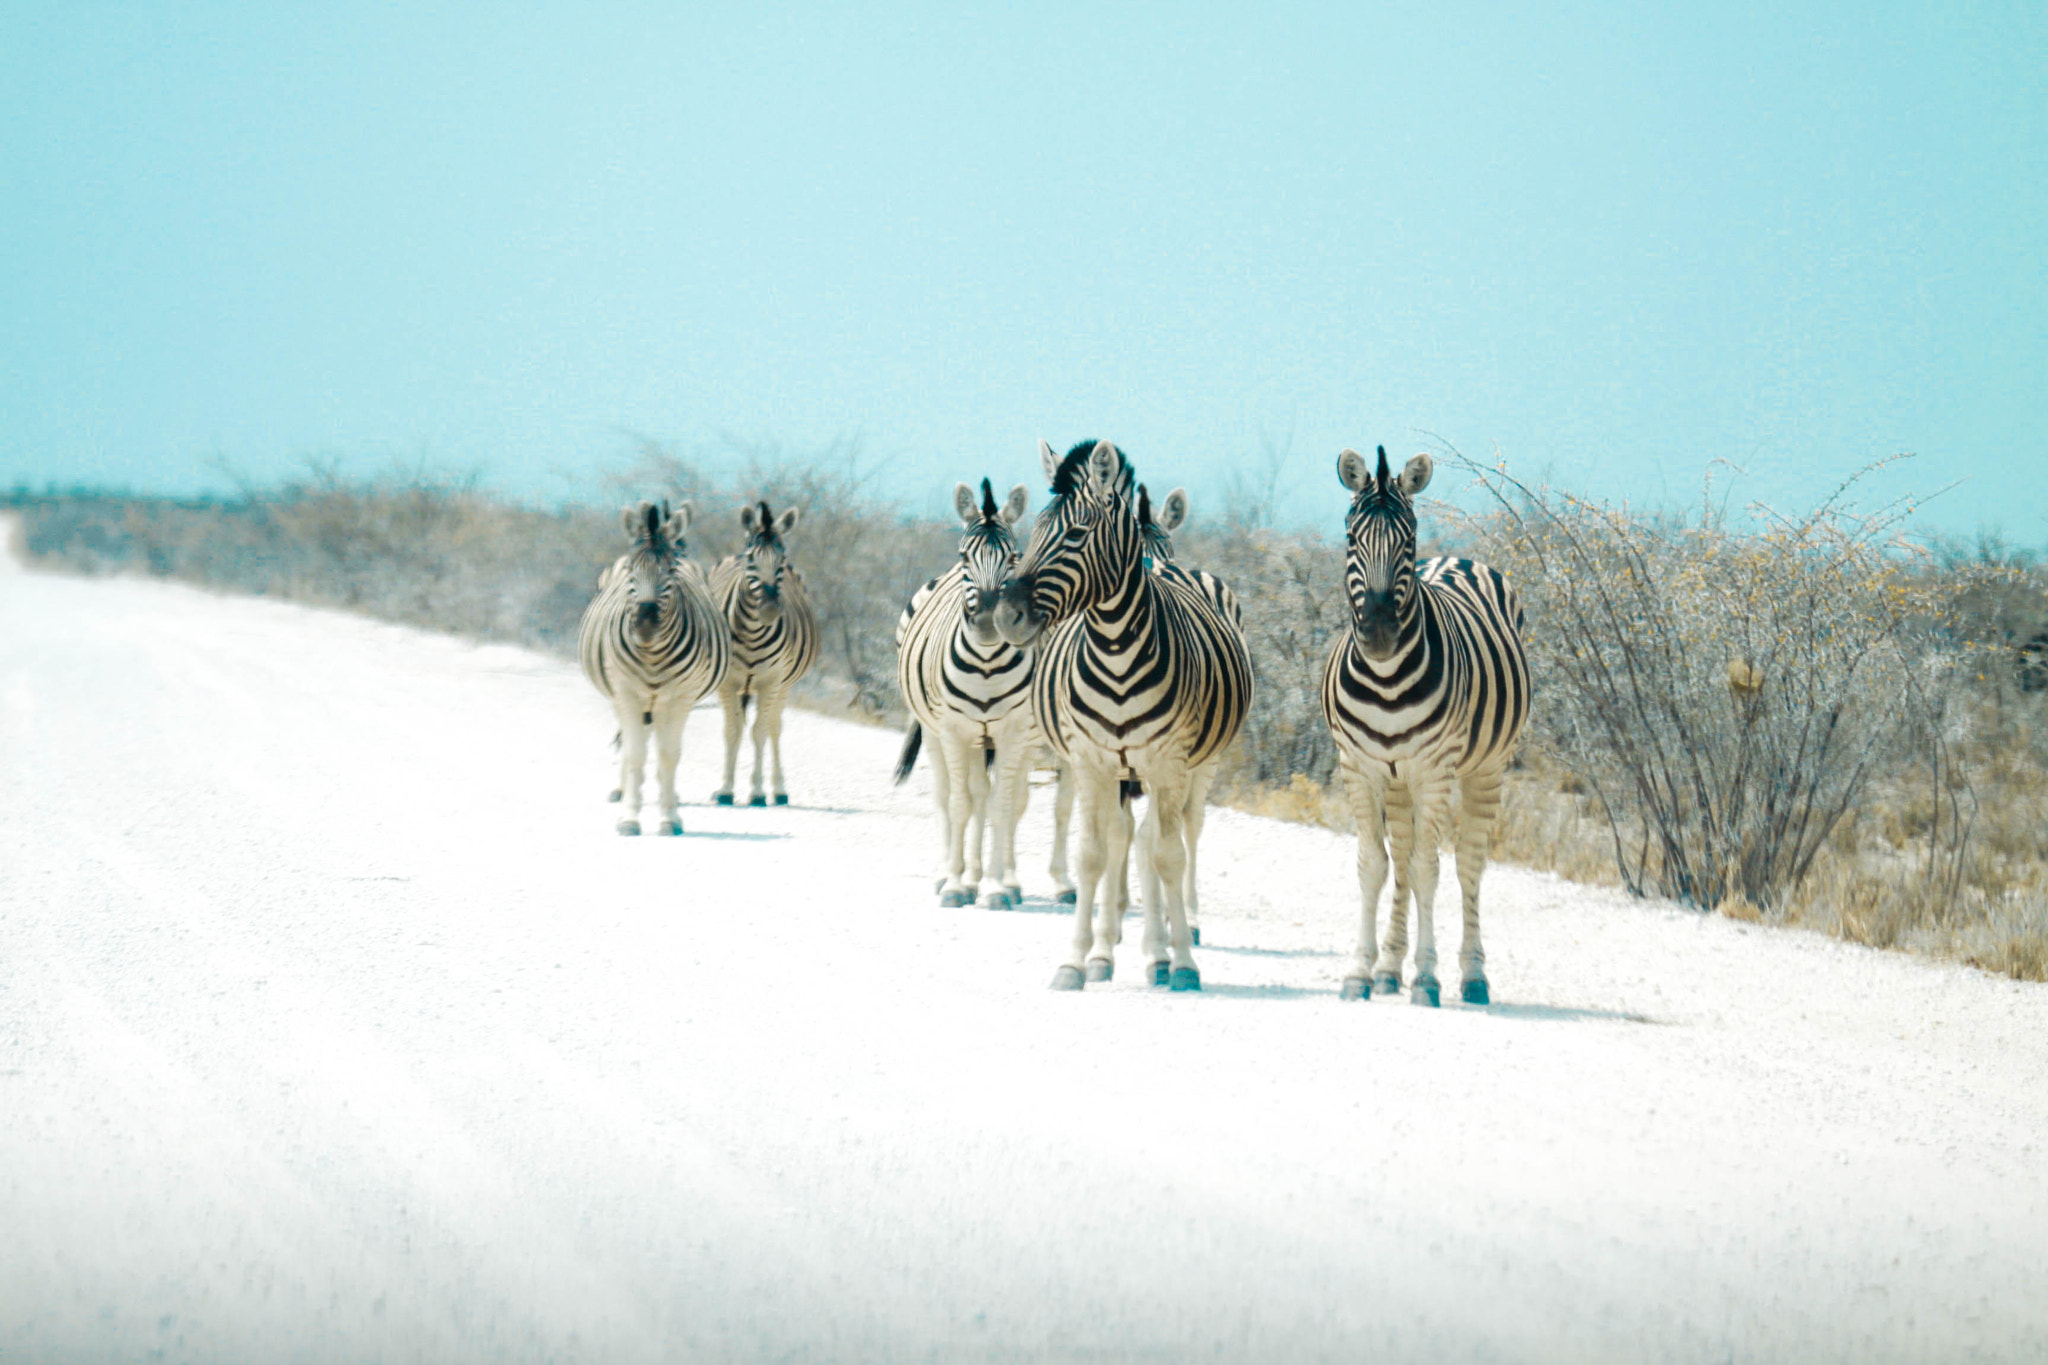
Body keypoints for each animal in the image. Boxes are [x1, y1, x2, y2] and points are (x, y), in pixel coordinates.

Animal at [577, 500, 730, 836]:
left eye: (670, 571)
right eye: (632, 571)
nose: (645, 623)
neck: (652, 655)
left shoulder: (681, 699)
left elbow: (669, 756)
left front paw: (669, 818)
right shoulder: (626, 693)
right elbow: (635, 754)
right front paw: (629, 818)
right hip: (625, 698)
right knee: (631, 743)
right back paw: (625, 790)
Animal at [709, 501, 820, 807]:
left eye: (781, 560)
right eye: (750, 559)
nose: (769, 610)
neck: (751, 632)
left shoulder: (771, 682)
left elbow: (760, 731)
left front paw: (757, 792)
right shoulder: (728, 683)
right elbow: (731, 730)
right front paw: (725, 789)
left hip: (784, 685)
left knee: (773, 727)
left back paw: (779, 790)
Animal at [892, 478, 1074, 908]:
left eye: (1014, 556)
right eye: (964, 556)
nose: (991, 623)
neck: (987, 664)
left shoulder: (1015, 733)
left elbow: (1004, 806)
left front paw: (995, 887)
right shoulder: (954, 730)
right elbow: (961, 804)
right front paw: (956, 886)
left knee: (994, 798)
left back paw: (993, 878)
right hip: (938, 733)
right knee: (949, 796)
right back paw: (949, 873)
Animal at [995, 439, 1253, 992]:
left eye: (1075, 533)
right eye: (1034, 529)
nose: (1006, 617)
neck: (1114, 650)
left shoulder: (1168, 762)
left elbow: (1167, 854)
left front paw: (1181, 962)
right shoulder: (1091, 760)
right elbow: (1094, 854)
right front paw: (1077, 961)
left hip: (1196, 764)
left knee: (1175, 834)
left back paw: (1168, 941)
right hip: (1121, 768)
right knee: (1126, 837)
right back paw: (1117, 947)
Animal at [1321, 446, 1530, 1006]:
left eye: (1408, 538)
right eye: (1351, 536)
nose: (1378, 634)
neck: (1387, 682)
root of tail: (1460, 558)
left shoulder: (1435, 770)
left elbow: (1427, 869)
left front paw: (1429, 978)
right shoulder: (1360, 767)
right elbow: (1375, 865)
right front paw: (1360, 972)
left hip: (1486, 768)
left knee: (1468, 861)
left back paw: (1472, 976)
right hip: (1397, 778)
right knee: (1402, 854)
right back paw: (1390, 969)